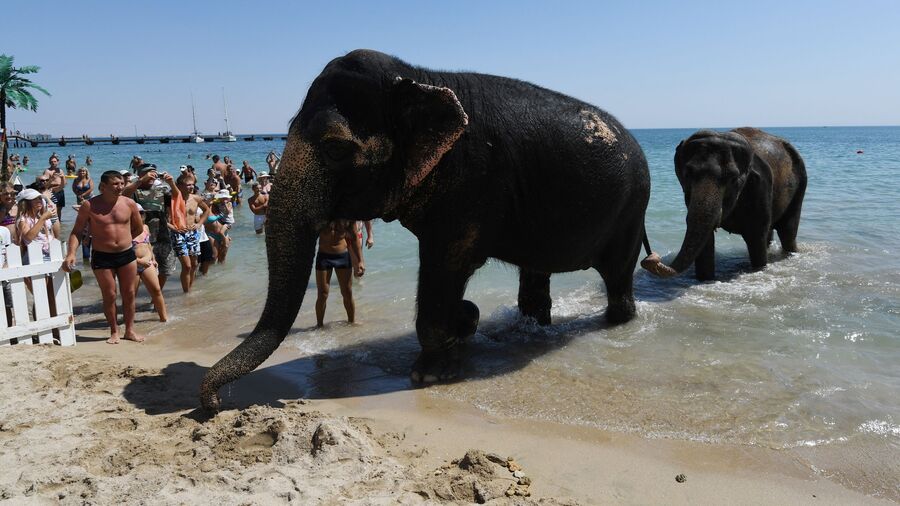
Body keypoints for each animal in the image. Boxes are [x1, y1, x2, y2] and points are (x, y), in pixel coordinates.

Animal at [200, 48, 652, 412]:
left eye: (335, 147)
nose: (215, 403)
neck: (419, 77)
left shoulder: (474, 181)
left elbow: (447, 263)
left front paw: (430, 375)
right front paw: (464, 322)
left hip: (633, 207)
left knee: (617, 276)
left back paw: (617, 322)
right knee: (536, 275)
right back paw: (529, 330)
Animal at [644, 127, 804, 280]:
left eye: (733, 178)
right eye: (688, 174)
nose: (651, 258)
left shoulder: (761, 187)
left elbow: (756, 236)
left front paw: (759, 269)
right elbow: (706, 241)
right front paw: (705, 279)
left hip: (800, 186)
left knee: (787, 232)